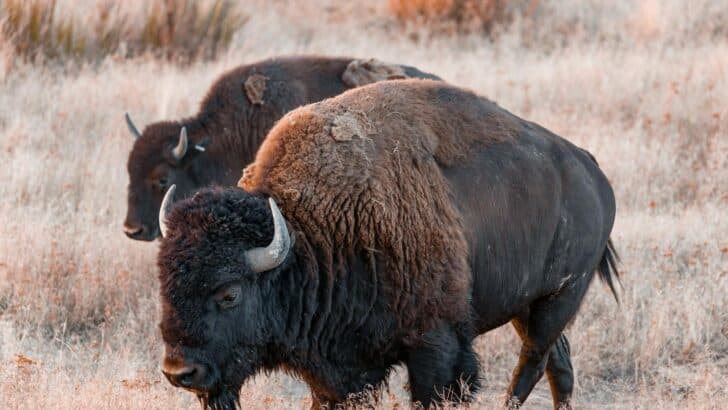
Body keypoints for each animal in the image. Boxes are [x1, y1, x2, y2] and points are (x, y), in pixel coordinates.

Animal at [156, 79, 619, 409]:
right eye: (165, 286)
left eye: (229, 294)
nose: (180, 372)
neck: (311, 233)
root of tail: (590, 169)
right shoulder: (337, 371)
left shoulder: (436, 346)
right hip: (528, 305)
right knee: (559, 363)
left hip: (558, 298)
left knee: (533, 363)